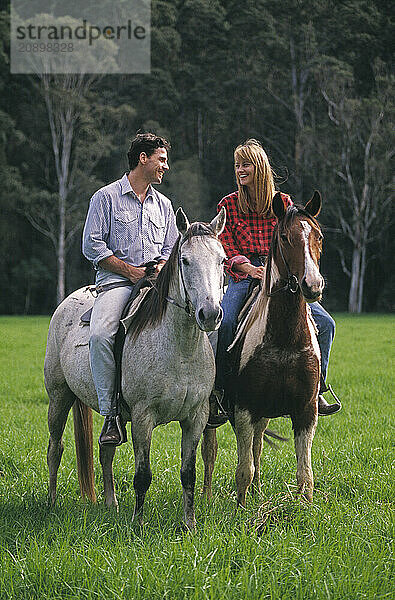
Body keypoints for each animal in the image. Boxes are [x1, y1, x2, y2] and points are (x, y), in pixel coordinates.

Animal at [44, 209, 226, 532]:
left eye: (222, 260)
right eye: (185, 260)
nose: (210, 314)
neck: (180, 349)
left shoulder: (196, 418)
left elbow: (188, 474)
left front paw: (189, 525)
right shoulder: (143, 417)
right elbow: (143, 475)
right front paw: (138, 525)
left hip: (110, 415)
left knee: (106, 449)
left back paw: (110, 503)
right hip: (59, 398)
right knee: (56, 448)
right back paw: (52, 503)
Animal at [203, 192, 326, 506]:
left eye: (318, 235)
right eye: (284, 236)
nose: (312, 285)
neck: (284, 341)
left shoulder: (305, 411)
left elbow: (305, 473)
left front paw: (304, 507)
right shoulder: (244, 408)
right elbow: (243, 469)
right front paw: (241, 508)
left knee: (257, 446)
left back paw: (258, 490)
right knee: (210, 450)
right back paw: (206, 495)